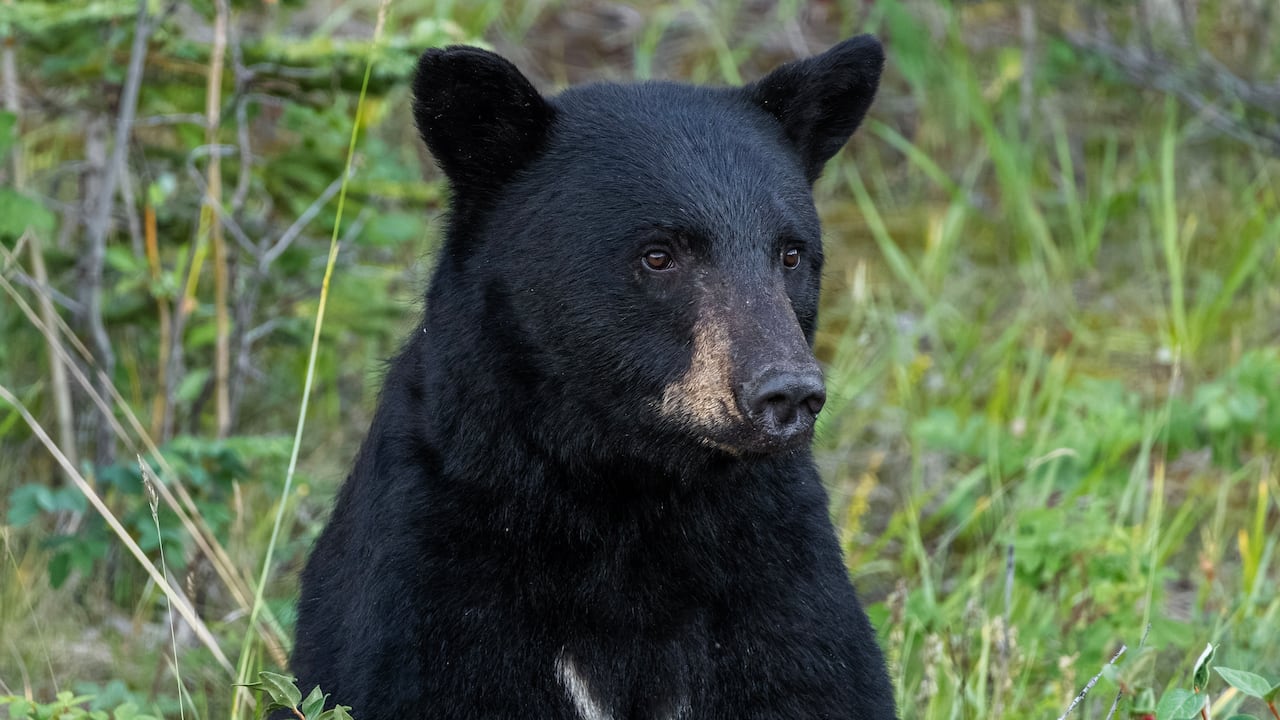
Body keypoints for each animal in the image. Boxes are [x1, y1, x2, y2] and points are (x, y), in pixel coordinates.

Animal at [289, 34, 894, 720]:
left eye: (791, 253)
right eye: (658, 255)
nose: (787, 393)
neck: (624, 494)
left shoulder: (778, 574)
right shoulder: (434, 581)